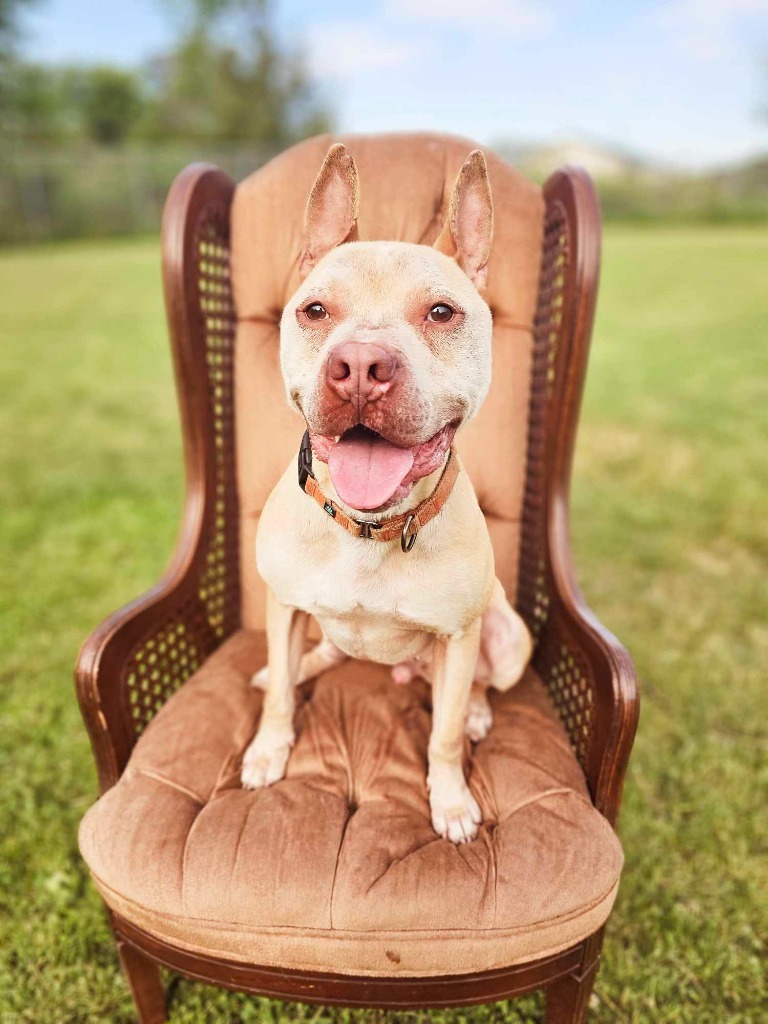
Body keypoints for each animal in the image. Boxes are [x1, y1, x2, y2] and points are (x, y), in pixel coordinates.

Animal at [243, 146, 532, 847]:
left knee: (480, 685)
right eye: (315, 310)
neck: (368, 528)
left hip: (507, 635)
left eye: (441, 313)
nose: (360, 367)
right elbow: (283, 696)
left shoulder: (459, 636)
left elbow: (444, 736)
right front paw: (269, 749)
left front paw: (450, 802)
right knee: (308, 657)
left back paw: (477, 711)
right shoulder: (281, 604)